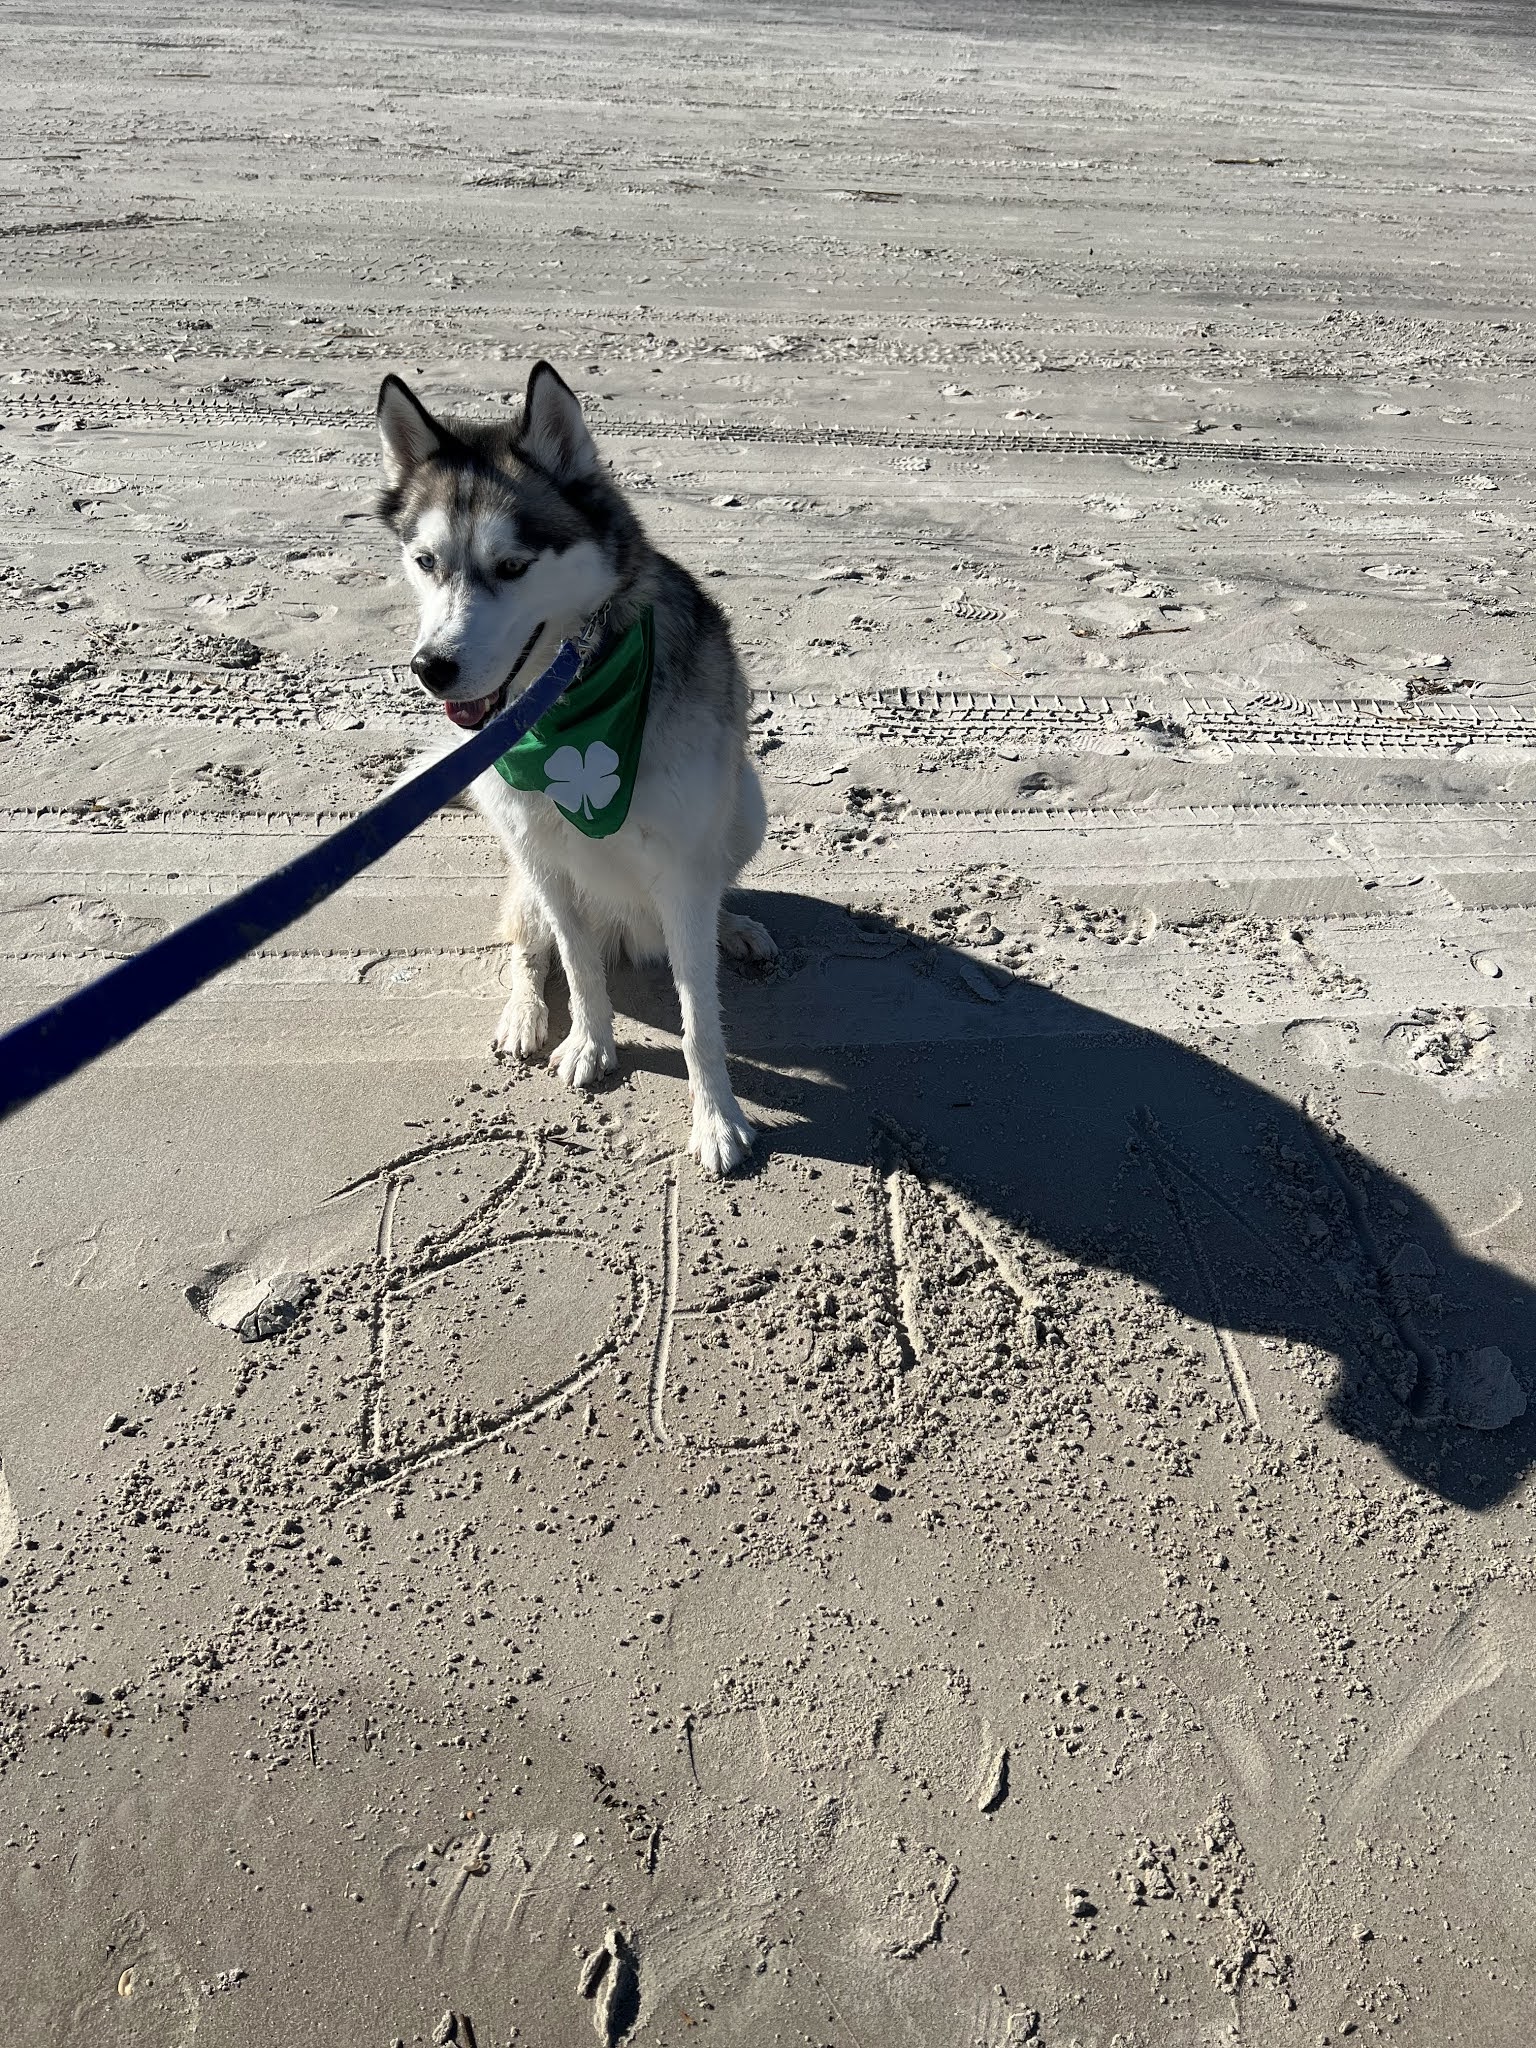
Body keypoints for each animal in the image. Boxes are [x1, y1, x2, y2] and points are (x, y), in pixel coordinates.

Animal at [374, 360, 782, 1179]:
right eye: (425, 562)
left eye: (512, 567)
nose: (431, 669)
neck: (573, 696)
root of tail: (634, 931)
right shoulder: (543, 857)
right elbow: (576, 961)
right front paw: (590, 1043)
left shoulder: (682, 866)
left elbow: (701, 1016)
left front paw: (716, 1119)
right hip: (521, 865)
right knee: (526, 948)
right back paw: (523, 1016)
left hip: (745, 808)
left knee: (716, 894)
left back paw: (735, 926)